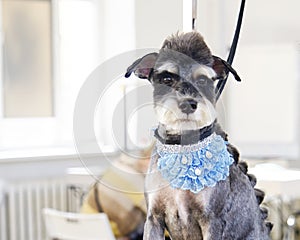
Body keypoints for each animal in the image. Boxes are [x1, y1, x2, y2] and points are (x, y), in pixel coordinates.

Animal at [124, 31, 272, 238]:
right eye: (167, 79)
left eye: (202, 80)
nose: (188, 104)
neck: (182, 146)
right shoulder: (154, 218)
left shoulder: (211, 220)